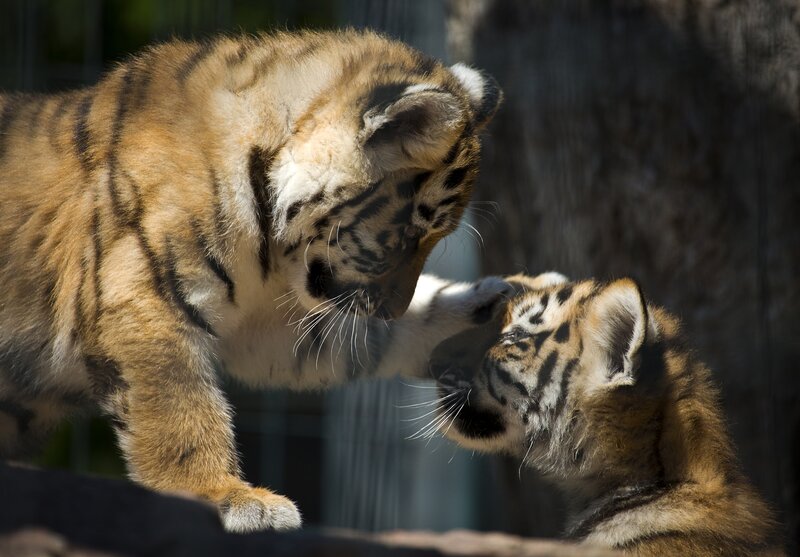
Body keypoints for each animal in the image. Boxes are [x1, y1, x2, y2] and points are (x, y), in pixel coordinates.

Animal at [0, 29, 505, 532]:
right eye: (412, 232)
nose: (391, 309)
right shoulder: (145, 300)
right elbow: (179, 411)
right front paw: (224, 495)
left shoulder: (268, 324)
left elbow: (371, 340)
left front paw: (486, 311)